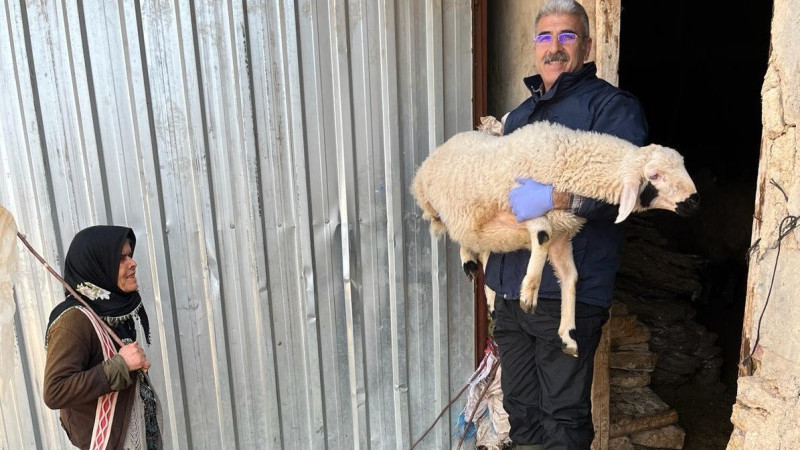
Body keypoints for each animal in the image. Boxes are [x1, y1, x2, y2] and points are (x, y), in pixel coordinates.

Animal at [412, 119, 700, 356]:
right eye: (655, 175)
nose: (694, 201)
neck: (569, 163)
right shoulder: (520, 204)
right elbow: (542, 234)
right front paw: (529, 292)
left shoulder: (562, 235)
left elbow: (570, 277)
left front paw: (568, 335)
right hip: (437, 202)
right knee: (454, 230)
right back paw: (469, 261)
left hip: (481, 227)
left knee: (482, 248)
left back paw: (489, 293)